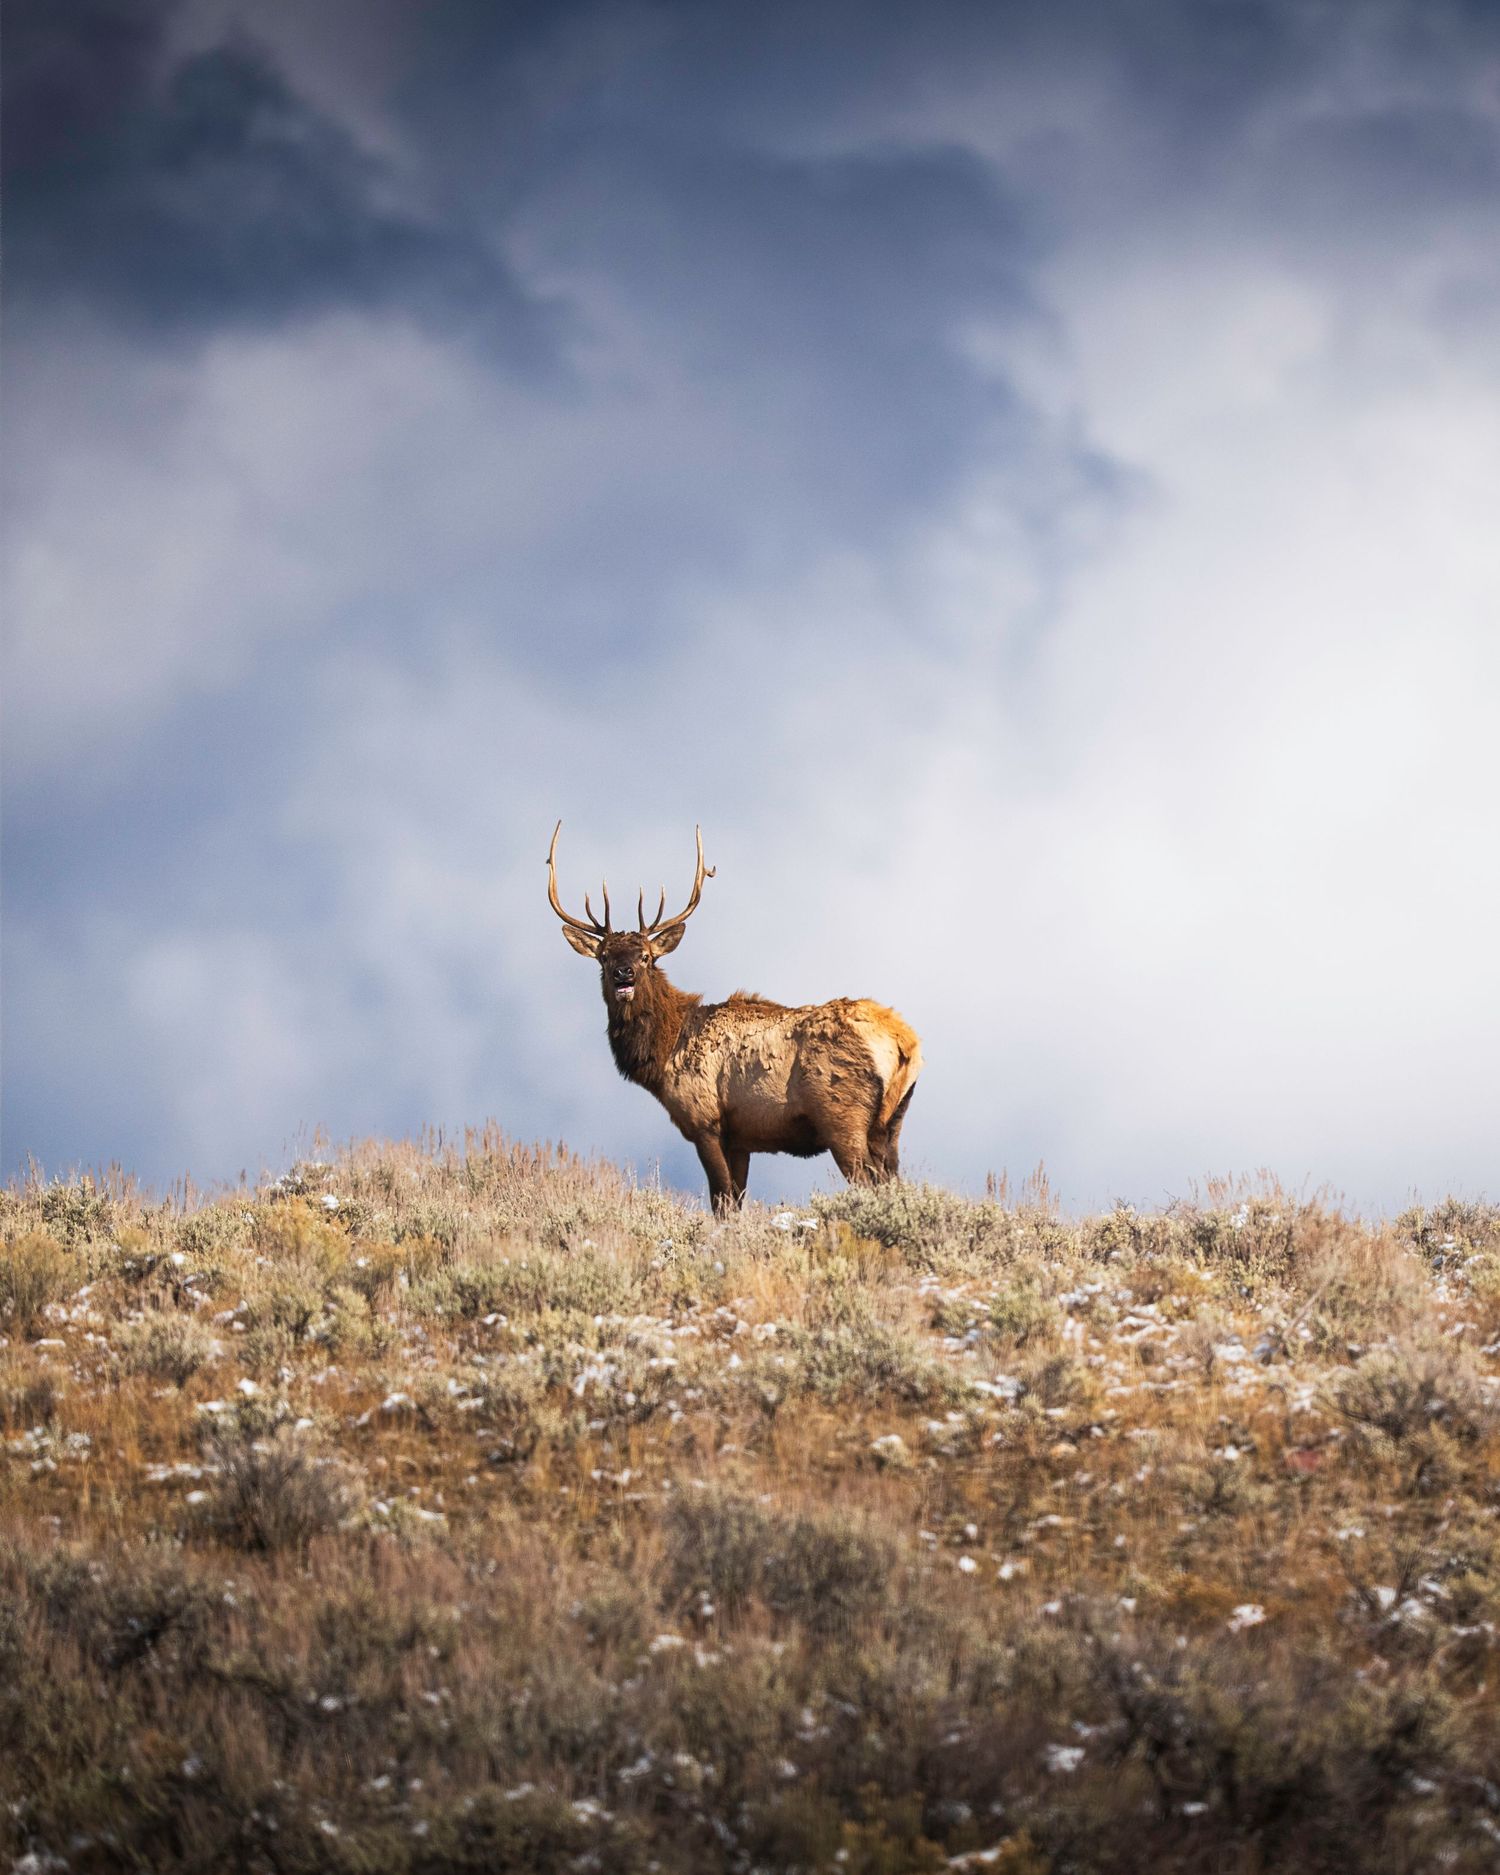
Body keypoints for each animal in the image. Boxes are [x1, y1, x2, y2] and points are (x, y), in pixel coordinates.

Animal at [546, 822, 922, 1212]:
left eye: (646, 956)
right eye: (604, 957)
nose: (624, 974)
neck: (664, 1053)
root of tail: (903, 1041)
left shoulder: (704, 1119)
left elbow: (722, 1200)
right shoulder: (741, 1137)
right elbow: (736, 1200)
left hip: (841, 1114)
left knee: (865, 1181)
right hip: (892, 1120)